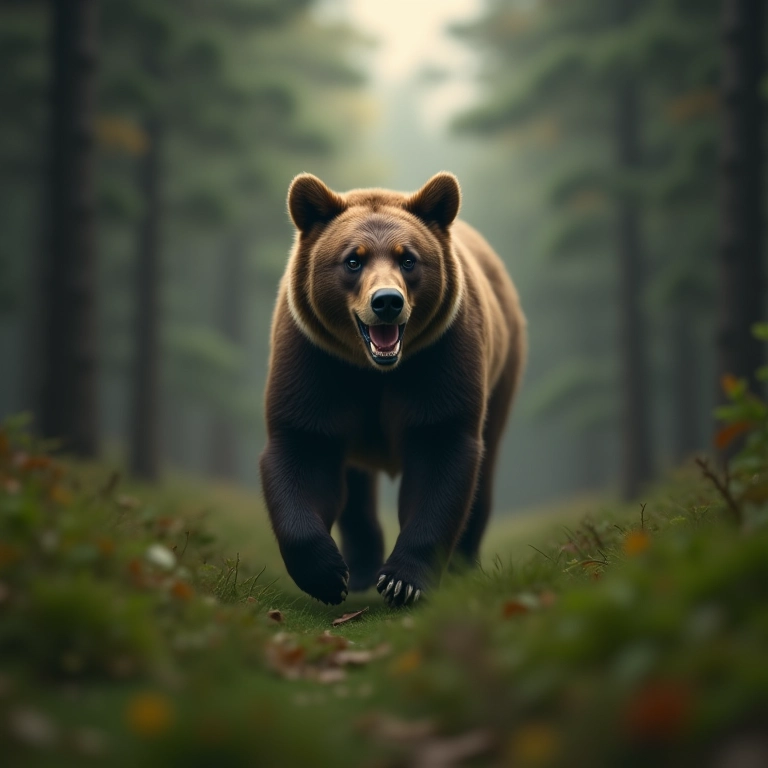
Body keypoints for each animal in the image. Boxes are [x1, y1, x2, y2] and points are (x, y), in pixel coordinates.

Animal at [259, 172, 526, 607]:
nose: (387, 301)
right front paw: (328, 575)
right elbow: (303, 448)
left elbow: (441, 454)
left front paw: (403, 580)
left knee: (484, 475)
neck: (375, 370)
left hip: (502, 375)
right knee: (355, 486)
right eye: (353, 259)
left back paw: (462, 566)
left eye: (408, 258)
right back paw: (361, 568)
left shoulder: (439, 359)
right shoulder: (315, 361)